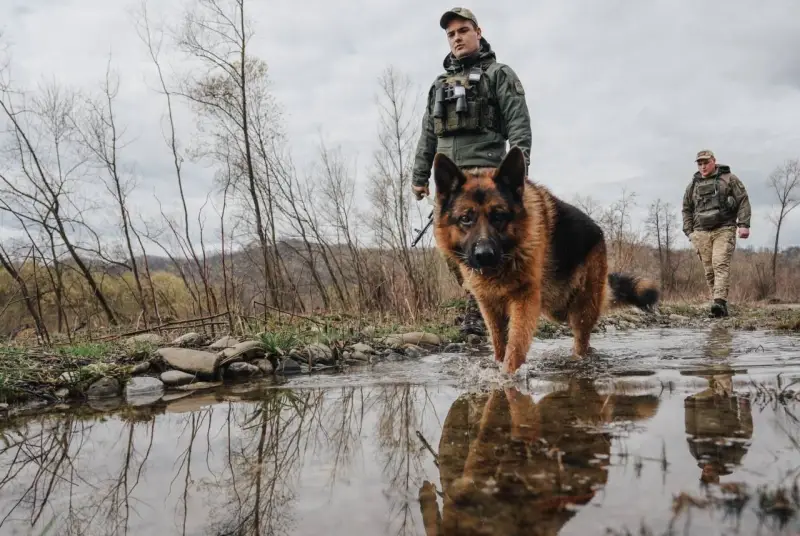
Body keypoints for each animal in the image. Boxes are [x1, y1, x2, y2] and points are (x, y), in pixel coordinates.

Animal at [434, 146, 660, 372]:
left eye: (499, 217)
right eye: (465, 219)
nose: (484, 256)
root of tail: (599, 232)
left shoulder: (524, 301)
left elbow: (515, 348)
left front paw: (508, 376)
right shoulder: (490, 308)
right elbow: (499, 345)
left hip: (582, 310)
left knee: (582, 341)